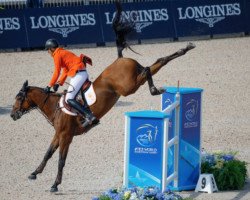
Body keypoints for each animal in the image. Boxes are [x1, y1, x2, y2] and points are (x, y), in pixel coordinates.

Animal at [10, 42, 195, 192]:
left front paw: (55, 185)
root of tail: (123, 59)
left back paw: (154, 89)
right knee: (158, 62)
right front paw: (34, 173)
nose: (12, 115)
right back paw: (185, 49)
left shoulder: (66, 136)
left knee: (148, 70)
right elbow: (47, 154)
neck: (56, 107)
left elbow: (61, 160)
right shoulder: (58, 134)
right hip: (134, 81)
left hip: (128, 86)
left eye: (19, 98)